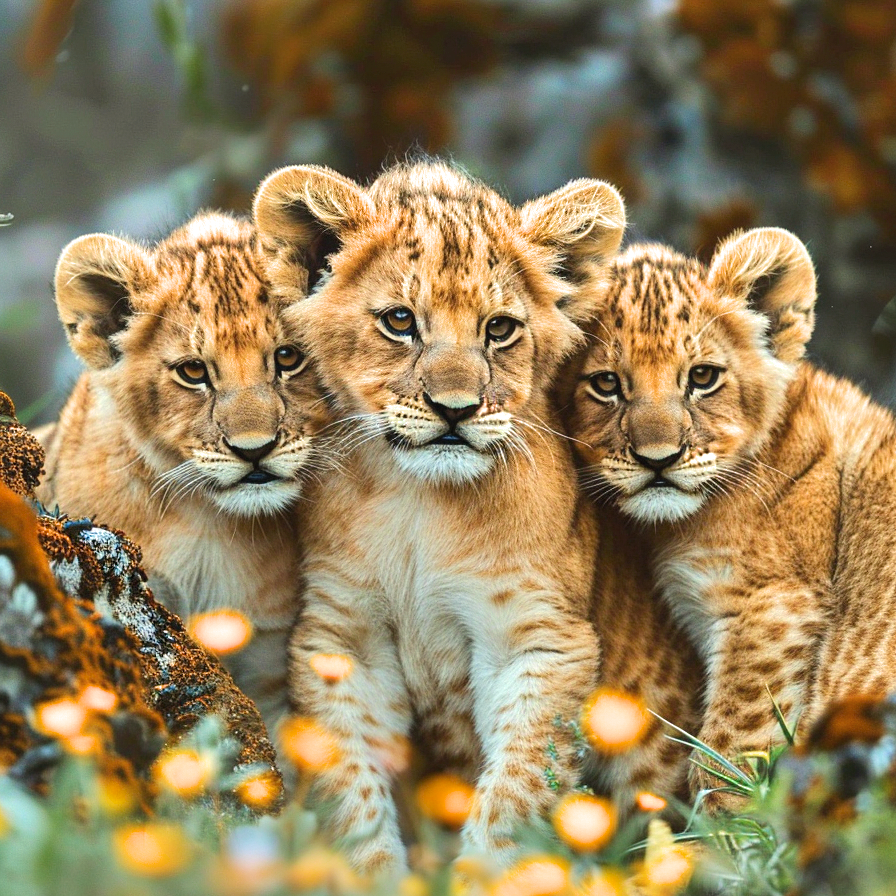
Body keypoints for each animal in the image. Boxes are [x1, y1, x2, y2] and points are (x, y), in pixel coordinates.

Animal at [253, 160, 626, 871]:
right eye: (400, 321)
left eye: (499, 329)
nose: (456, 409)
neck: (419, 504)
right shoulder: (343, 639)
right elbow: (351, 797)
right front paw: (368, 875)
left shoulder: (539, 636)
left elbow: (515, 796)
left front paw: (485, 875)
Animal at [563, 227, 896, 810]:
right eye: (605, 384)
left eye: (702, 377)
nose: (658, 459)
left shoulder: (774, 604)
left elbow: (728, 751)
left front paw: (723, 829)